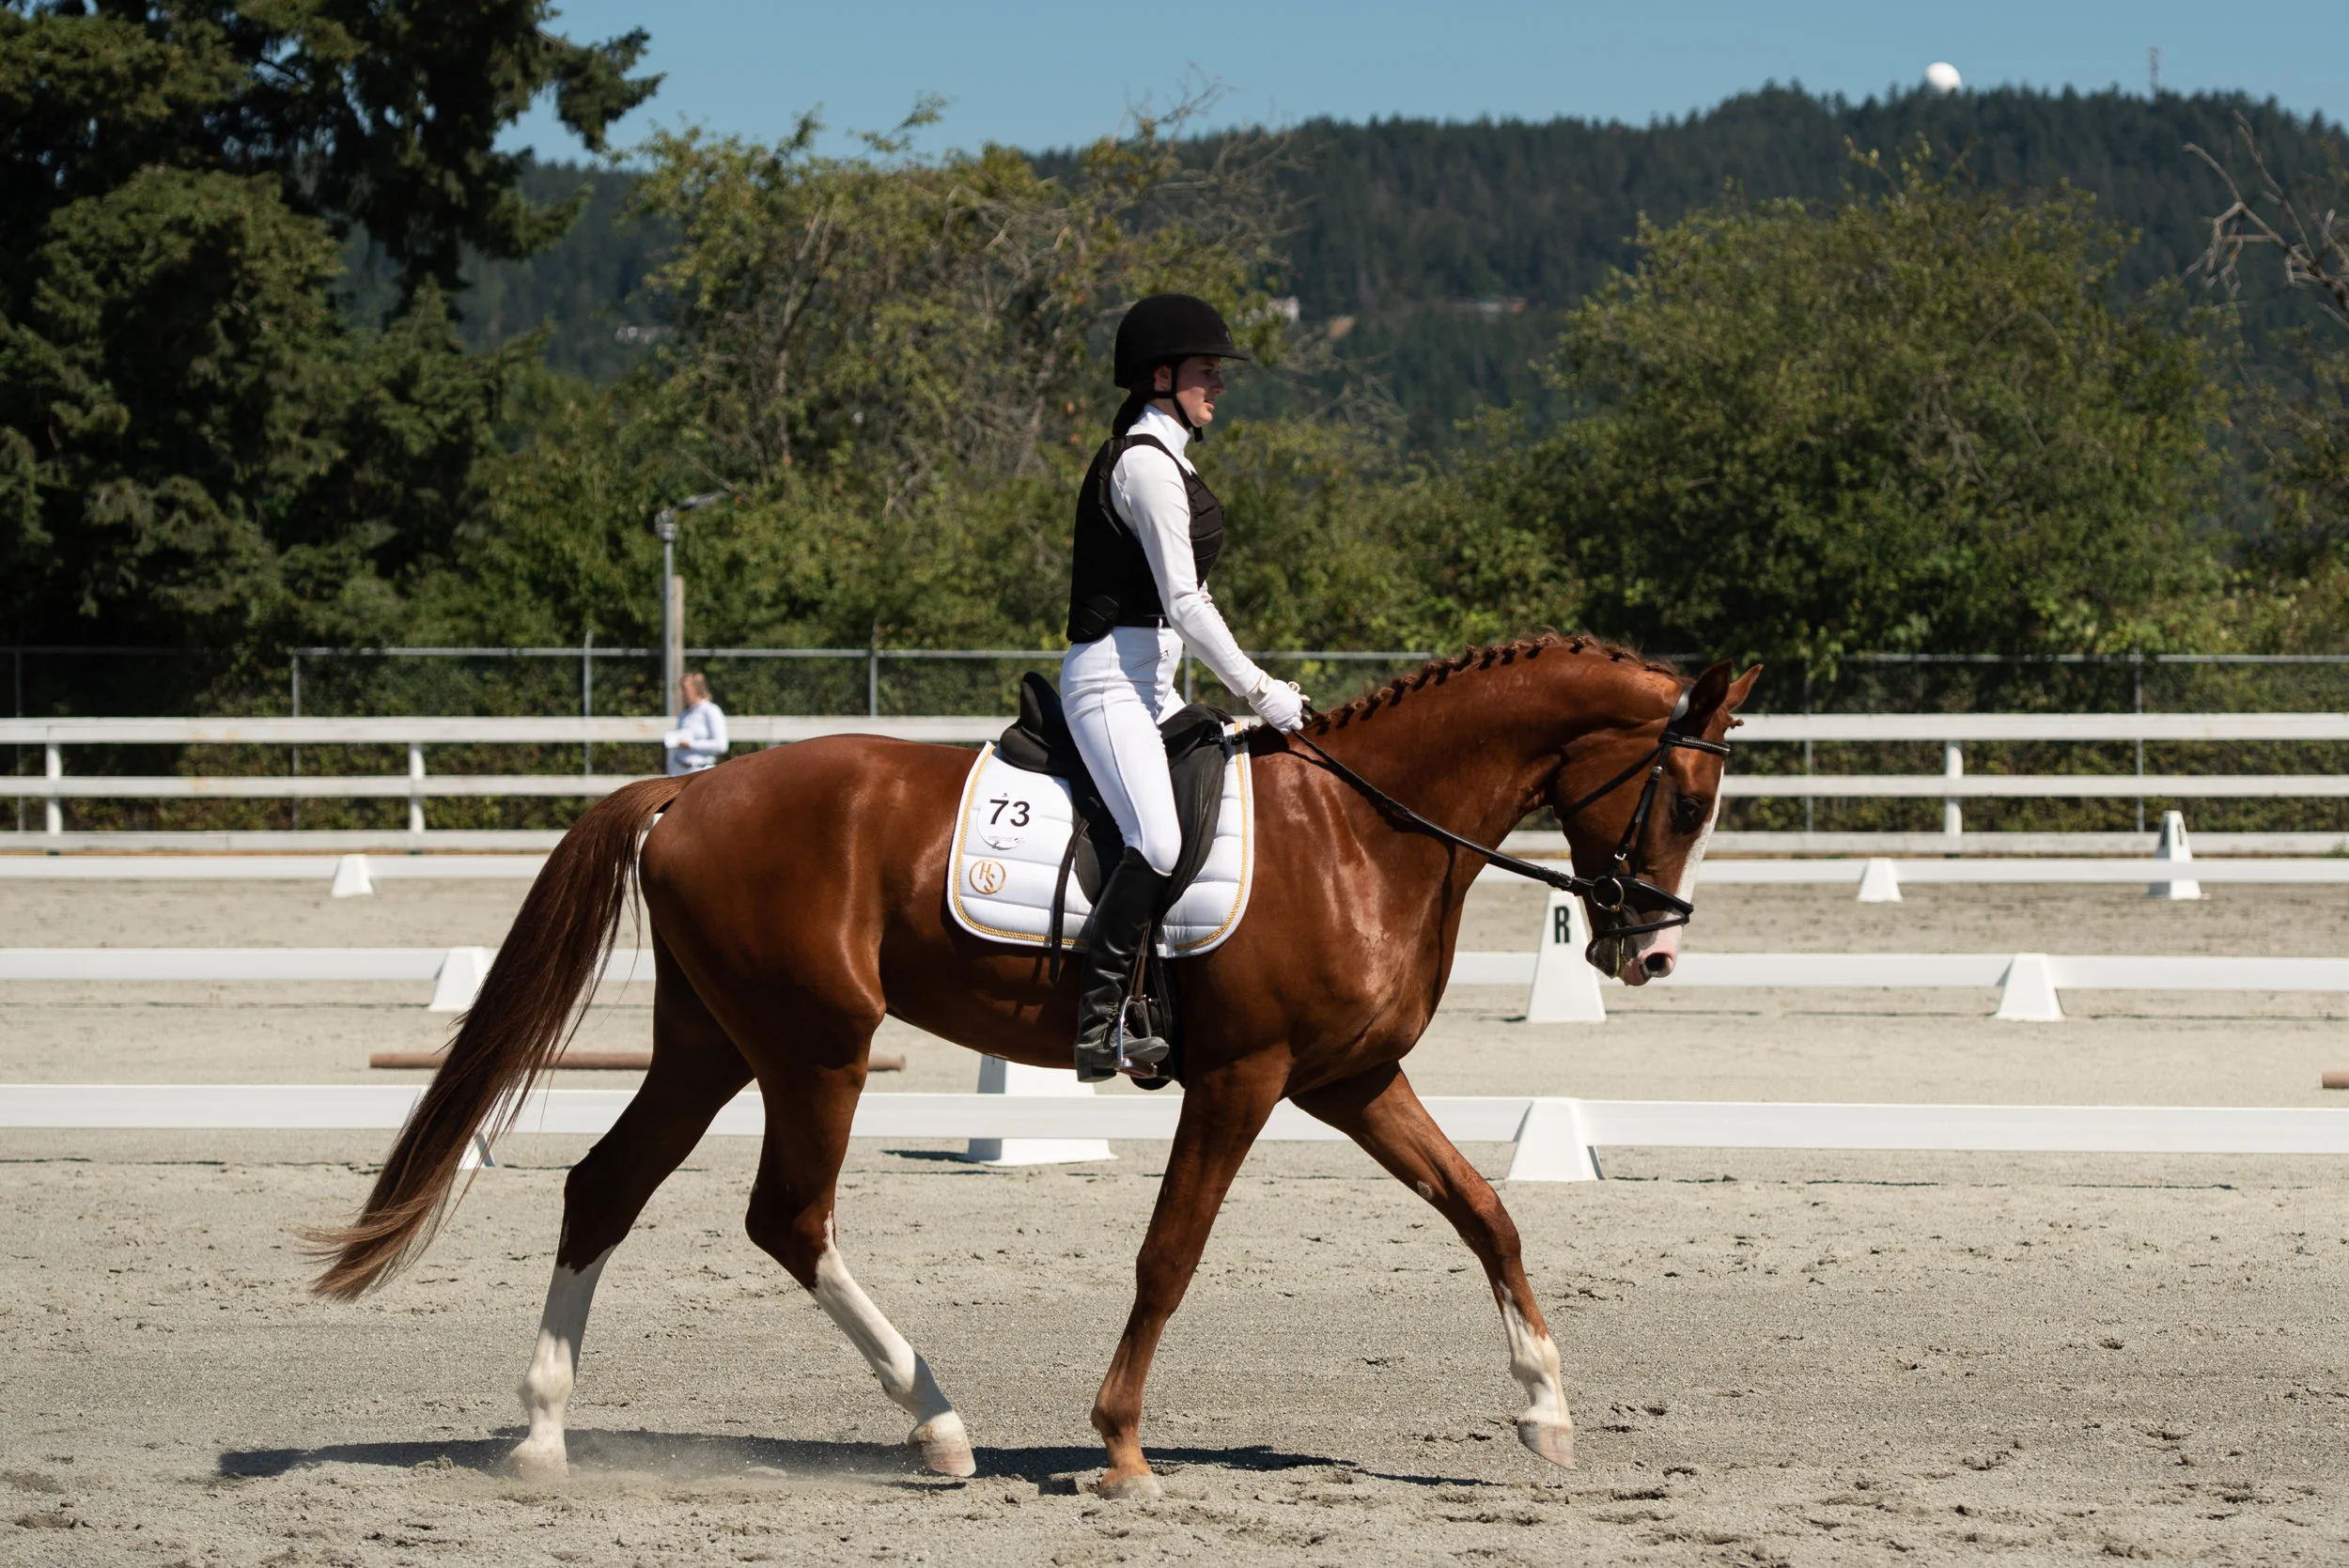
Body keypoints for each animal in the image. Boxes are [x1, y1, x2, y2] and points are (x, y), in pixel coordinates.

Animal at [307, 635, 1759, 1499]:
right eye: (1686, 800)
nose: (1648, 954)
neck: (1365, 830)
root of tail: (689, 792)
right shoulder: (1244, 1078)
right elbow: (1169, 1255)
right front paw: (1119, 1445)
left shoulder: (1350, 1080)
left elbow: (1487, 1208)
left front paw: (1545, 1409)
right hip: (816, 1047)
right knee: (788, 1216)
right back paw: (936, 1425)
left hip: (715, 1041)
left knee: (605, 1189)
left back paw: (543, 1434)